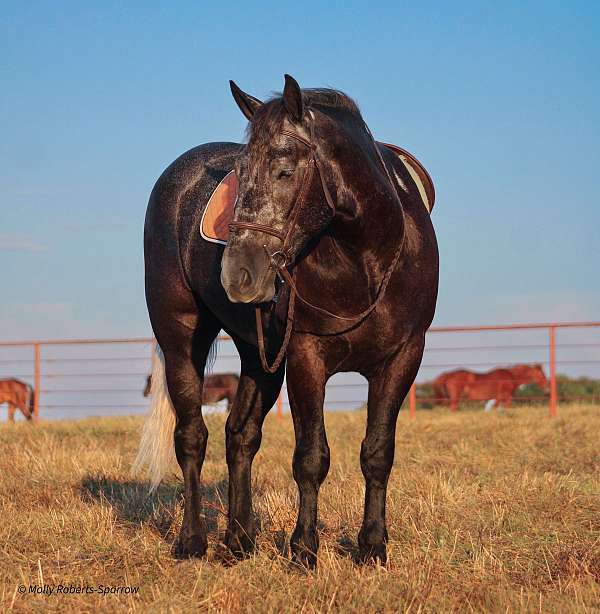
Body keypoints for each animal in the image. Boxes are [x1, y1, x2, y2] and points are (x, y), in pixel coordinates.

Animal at [134, 76, 438, 568]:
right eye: (241, 174)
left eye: (285, 169)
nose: (238, 272)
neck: (365, 260)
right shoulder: (306, 357)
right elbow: (311, 457)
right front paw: (303, 549)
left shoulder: (402, 358)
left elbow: (377, 453)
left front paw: (373, 545)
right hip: (181, 338)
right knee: (191, 437)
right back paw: (193, 540)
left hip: (258, 356)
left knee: (240, 436)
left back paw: (239, 540)